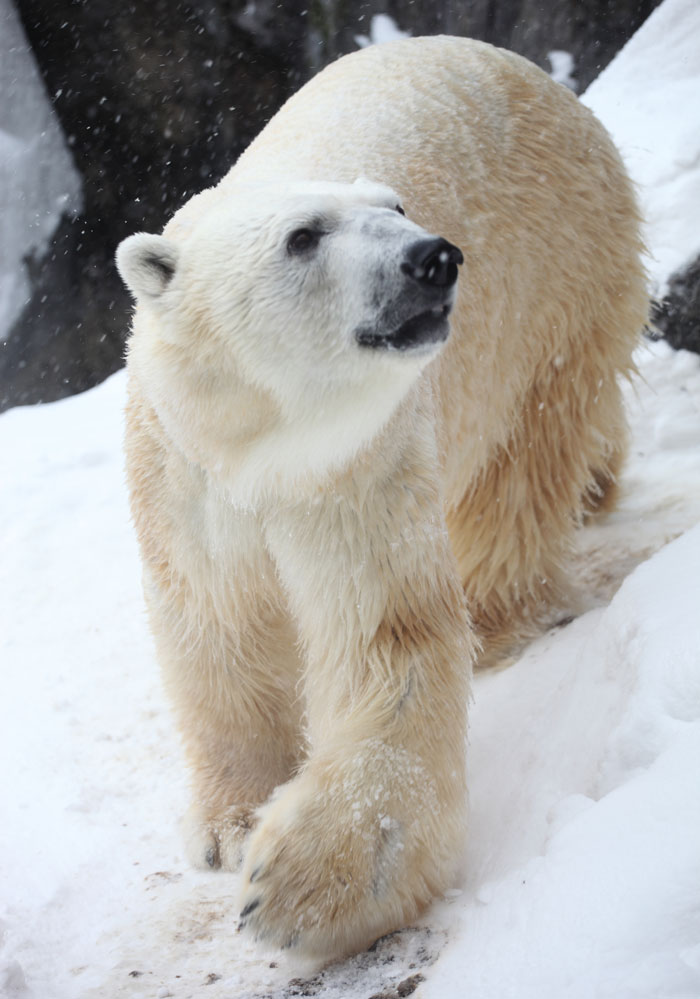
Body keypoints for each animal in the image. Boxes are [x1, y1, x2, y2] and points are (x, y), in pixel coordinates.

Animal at [115, 36, 647, 959]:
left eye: (394, 203)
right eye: (302, 236)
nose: (432, 257)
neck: (268, 443)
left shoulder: (358, 463)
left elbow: (385, 635)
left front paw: (301, 884)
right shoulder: (190, 475)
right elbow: (218, 619)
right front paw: (230, 821)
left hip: (557, 272)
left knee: (525, 456)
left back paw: (501, 609)